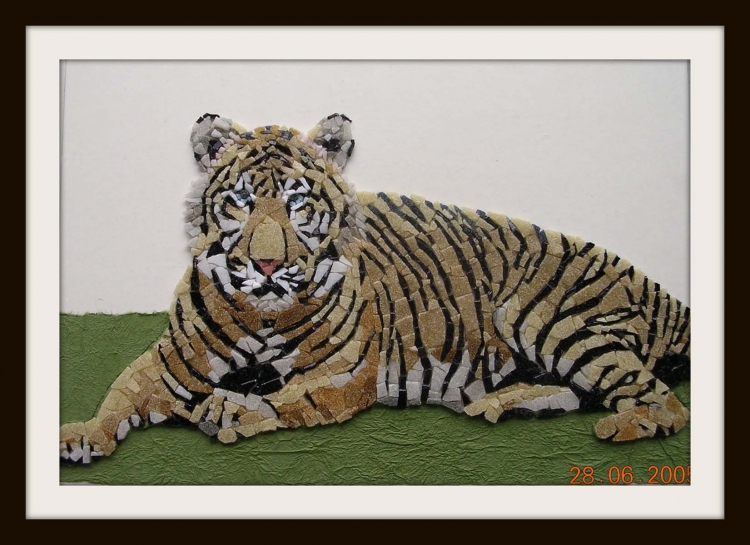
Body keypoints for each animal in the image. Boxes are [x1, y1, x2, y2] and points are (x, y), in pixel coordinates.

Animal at [60, 113, 691, 464]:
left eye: (296, 201)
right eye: (239, 199)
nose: (266, 264)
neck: (264, 311)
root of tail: (653, 284)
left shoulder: (344, 375)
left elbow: (290, 398)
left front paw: (233, 407)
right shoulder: (169, 363)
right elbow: (120, 393)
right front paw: (80, 435)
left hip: (551, 320)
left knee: (659, 399)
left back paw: (618, 427)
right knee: (583, 391)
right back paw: (494, 405)